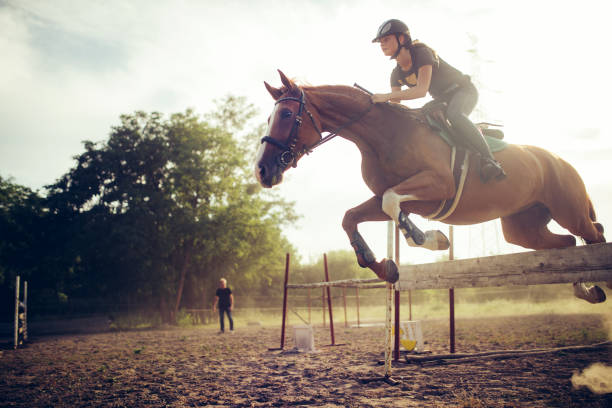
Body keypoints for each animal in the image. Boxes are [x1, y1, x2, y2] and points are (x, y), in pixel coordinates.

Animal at [256, 70, 608, 302]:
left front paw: (428, 238)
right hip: (522, 229)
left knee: (594, 238)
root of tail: (560, 161)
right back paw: (586, 290)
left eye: (285, 114)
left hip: (571, 212)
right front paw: (384, 267)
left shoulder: (437, 186)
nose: (262, 170)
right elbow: (354, 216)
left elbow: (392, 203)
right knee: (567, 245)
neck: (384, 135)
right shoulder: (399, 198)